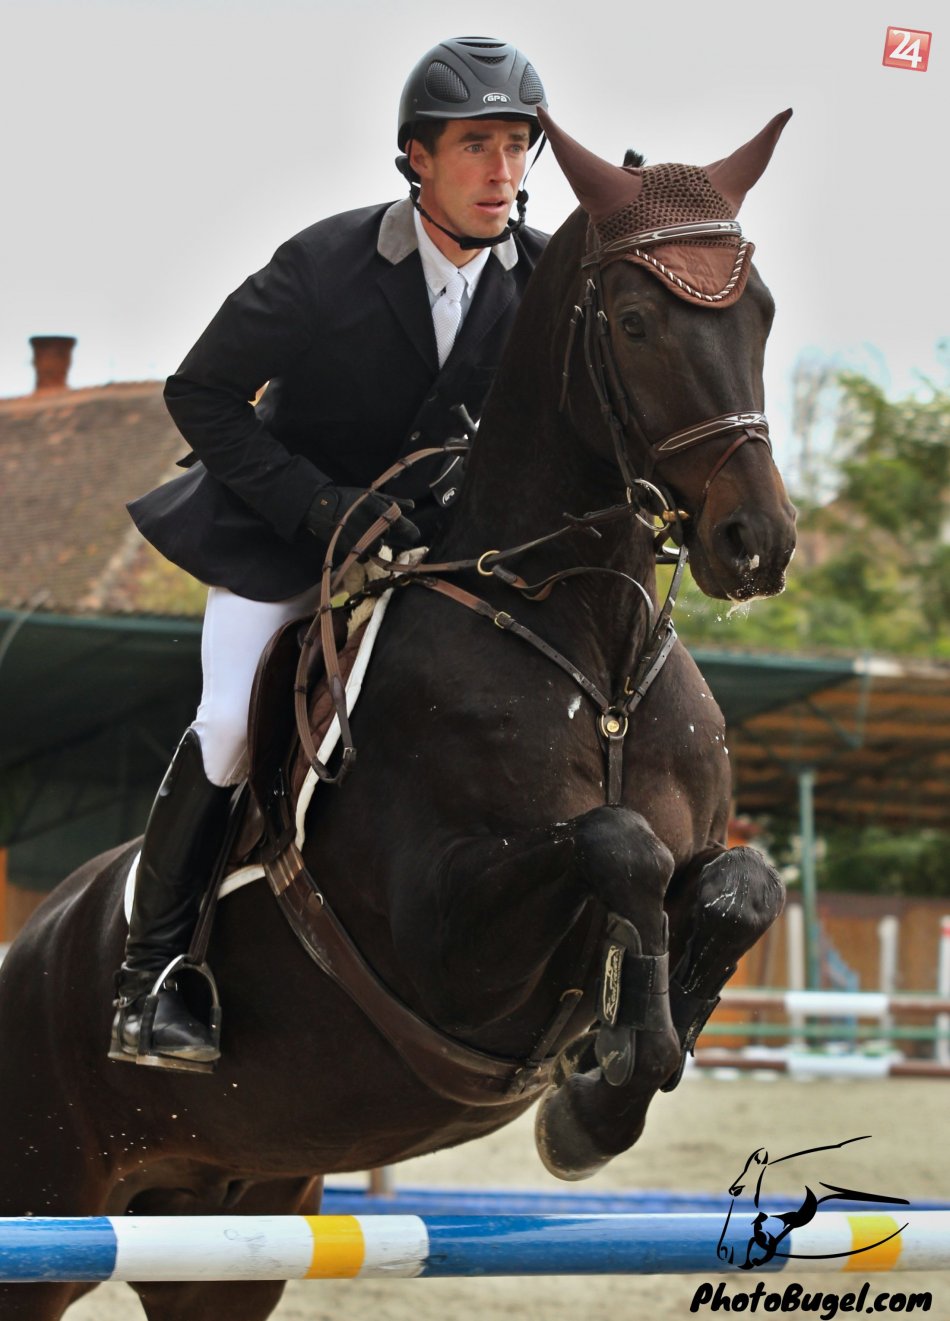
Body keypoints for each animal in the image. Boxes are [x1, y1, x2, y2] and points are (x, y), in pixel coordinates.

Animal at [0, 107, 797, 1320]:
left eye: (759, 311)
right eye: (632, 321)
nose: (756, 543)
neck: (592, 654)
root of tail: (32, 941)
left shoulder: (694, 852)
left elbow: (740, 884)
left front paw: (598, 1094)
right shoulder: (441, 939)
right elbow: (615, 843)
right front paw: (603, 1087)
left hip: (224, 1231)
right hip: (47, 1203)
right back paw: (158, 1008)